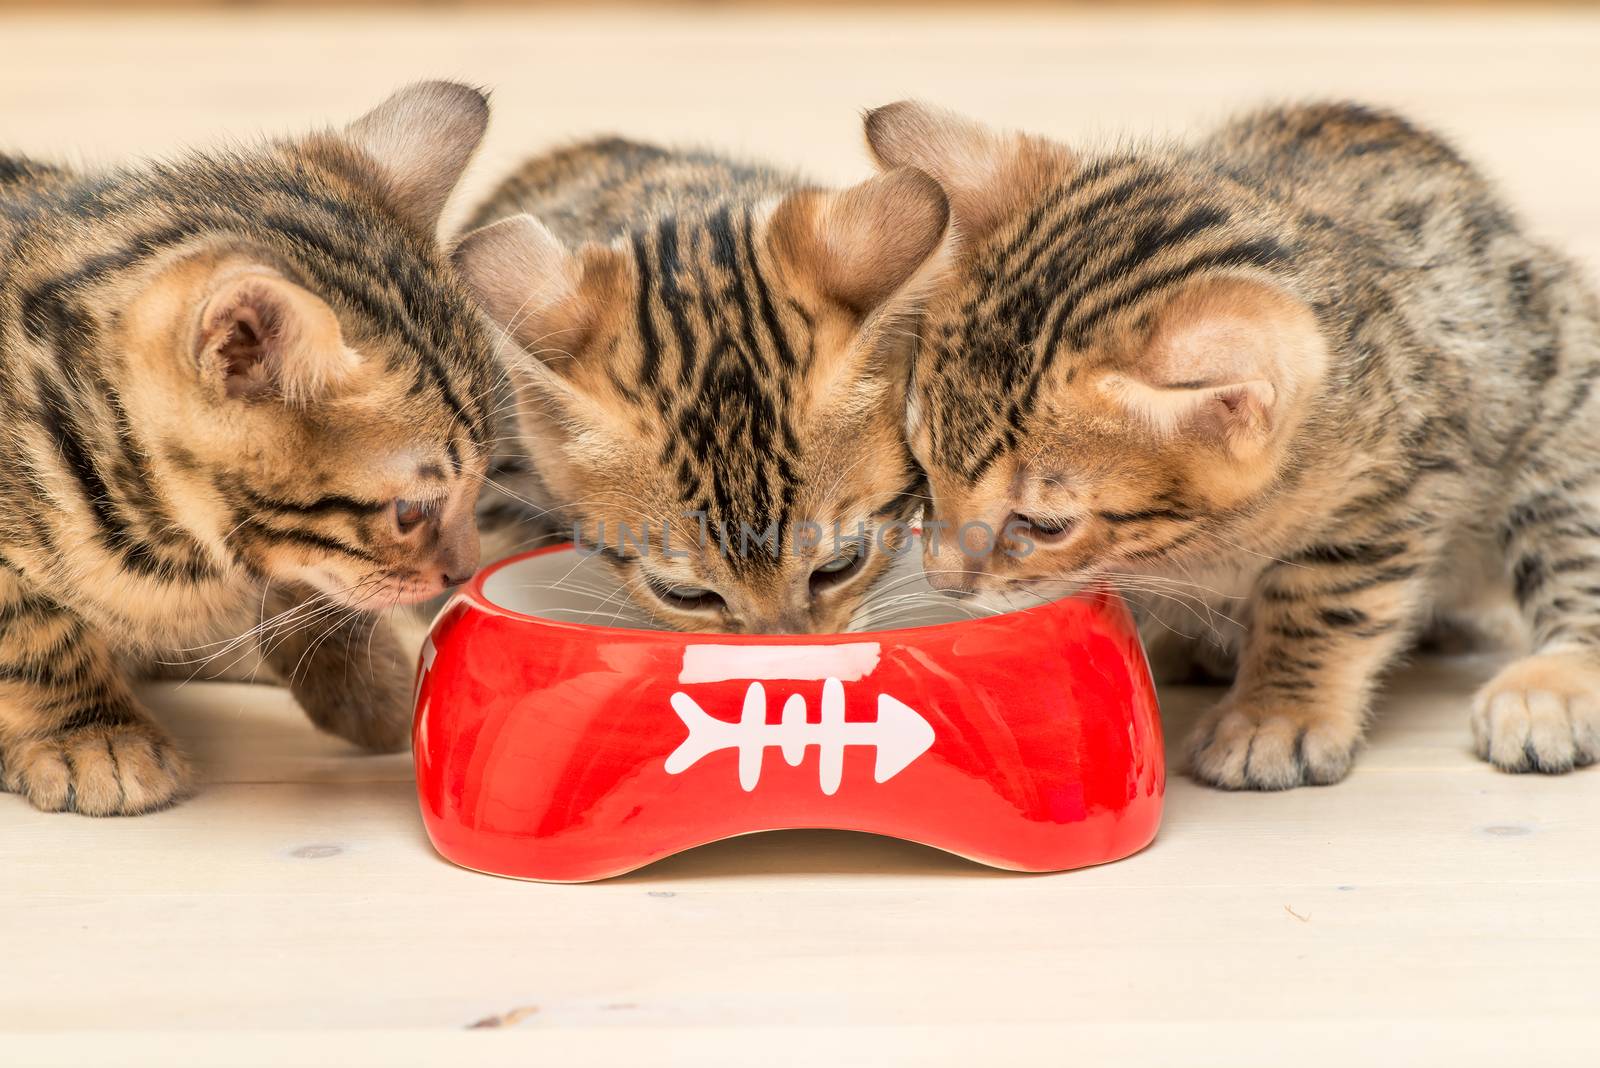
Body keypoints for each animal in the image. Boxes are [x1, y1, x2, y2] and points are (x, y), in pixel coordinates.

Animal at [864, 97, 1600, 783]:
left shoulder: (1402, 483)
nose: (943, 582)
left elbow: (1323, 599)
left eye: (1044, 525)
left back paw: (1550, 689)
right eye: (924, 472)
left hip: (1563, 414)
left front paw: (1278, 712)